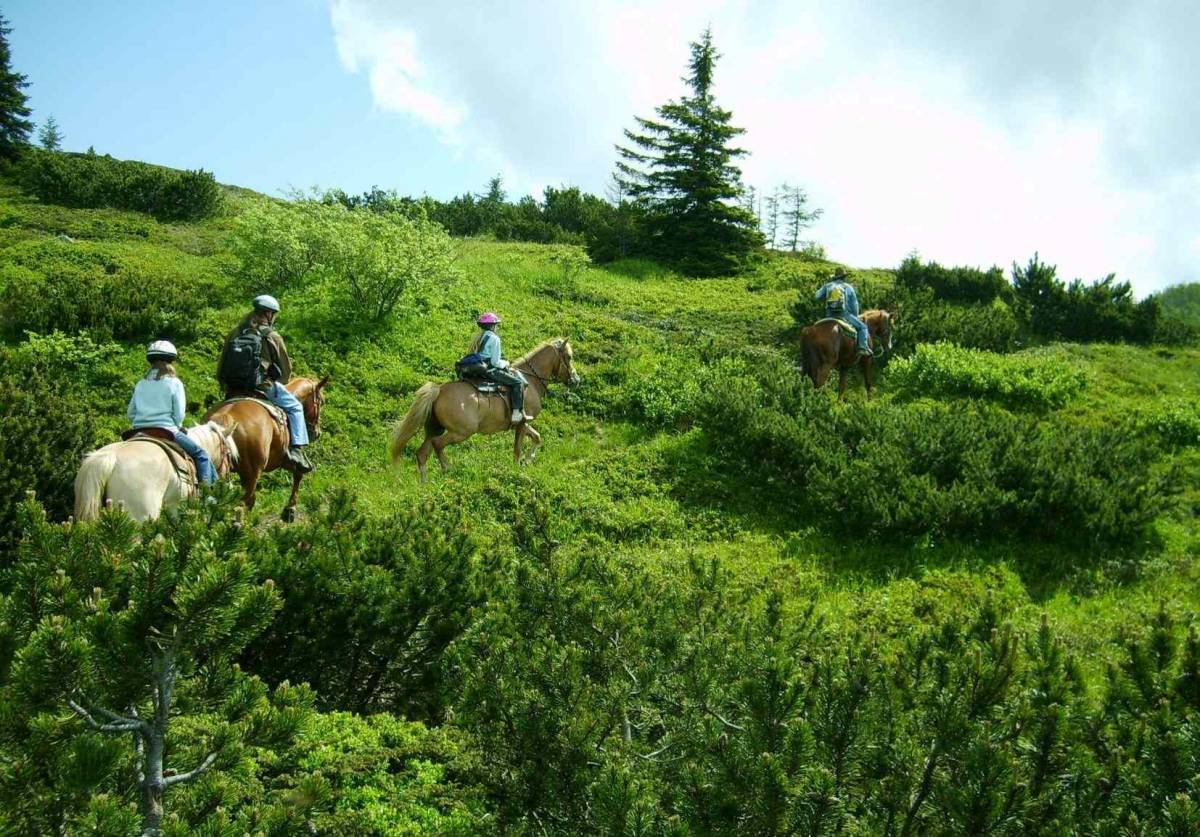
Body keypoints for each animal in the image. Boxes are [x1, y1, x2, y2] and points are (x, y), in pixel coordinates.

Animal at [205, 374, 328, 518]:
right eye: (321, 402)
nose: (317, 433)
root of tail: (227, 418)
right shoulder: (285, 459)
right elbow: (299, 474)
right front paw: (290, 509)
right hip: (250, 474)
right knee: (242, 504)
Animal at [391, 338, 578, 479]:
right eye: (569, 357)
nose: (576, 380)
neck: (529, 381)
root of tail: (439, 390)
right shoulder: (522, 423)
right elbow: (517, 449)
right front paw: (518, 467)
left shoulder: (523, 423)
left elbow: (537, 437)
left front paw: (528, 459)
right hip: (462, 432)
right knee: (437, 444)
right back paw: (446, 468)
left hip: (435, 428)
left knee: (422, 454)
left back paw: (426, 483)